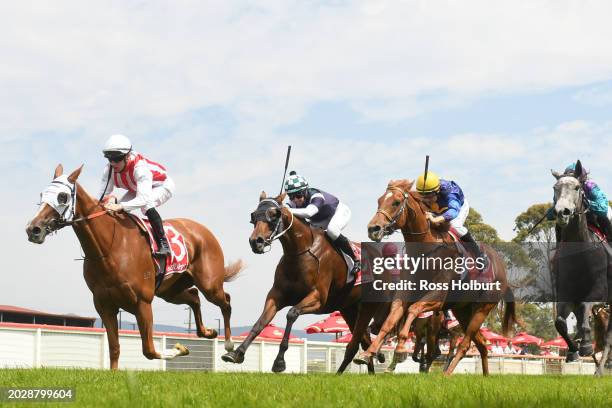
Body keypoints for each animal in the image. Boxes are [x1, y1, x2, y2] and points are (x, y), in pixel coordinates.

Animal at [26, 164, 243, 368]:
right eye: (41, 194)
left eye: (62, 196)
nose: (33, 229)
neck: (108, 248)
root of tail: (203, 230)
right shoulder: (104, 305)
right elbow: (114, 348)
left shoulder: (142, 302)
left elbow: (149, 350)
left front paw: (179, 348)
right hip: (170, 291)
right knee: (194, 297)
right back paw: (208, 331)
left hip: (209, 284)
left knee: (225, 300)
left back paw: (229, 345)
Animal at [220, 193, 382, 374]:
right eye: (253, 216)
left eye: (274, 215)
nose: (256, 242)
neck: (300, 252)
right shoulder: (276, 296)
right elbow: (260, 322)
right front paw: (236, 353)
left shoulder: (317, 298)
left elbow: (291, 314)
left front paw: (279, 362)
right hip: (349, 309)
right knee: (363, 340)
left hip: (367, 305)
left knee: (360, 342)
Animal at [354, 178, 516, 376]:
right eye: (379, 200)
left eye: (396, 202)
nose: (373, 228)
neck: (426, 250)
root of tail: (503, 272)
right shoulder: (405, 294)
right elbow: (392, 319)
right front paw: (368, 353)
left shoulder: (437, 299)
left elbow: (413, 310)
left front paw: (400, 349)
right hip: (463, 311)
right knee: (482, 344)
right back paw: (484, 376)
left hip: (483, 309)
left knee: (464, 344)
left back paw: (446, 374)